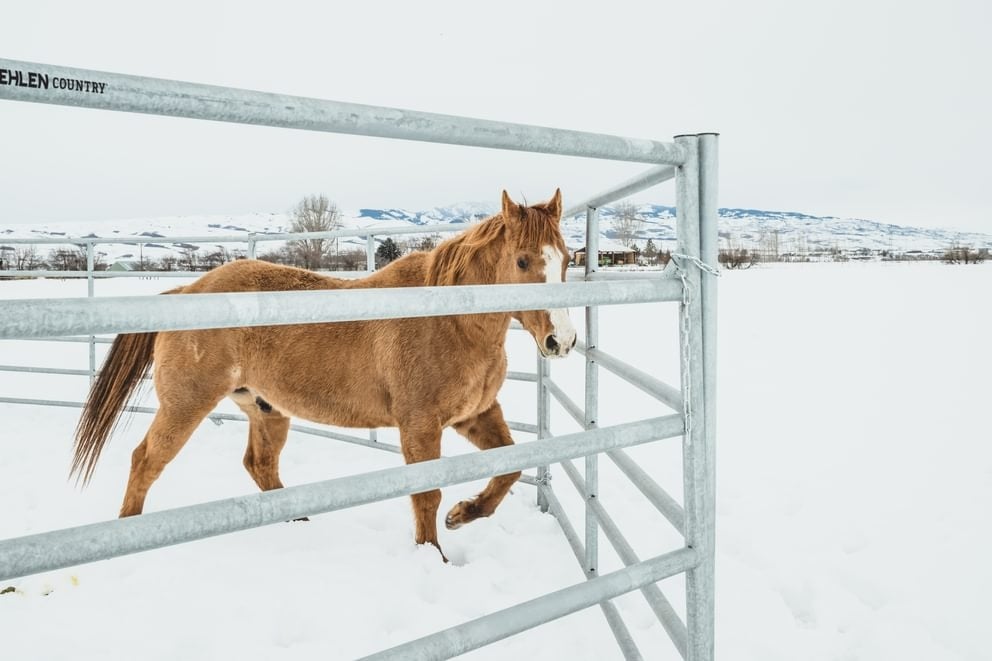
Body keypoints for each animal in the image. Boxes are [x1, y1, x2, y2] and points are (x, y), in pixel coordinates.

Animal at [72, 189, 576, 560]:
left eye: (568, 258)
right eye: (523, 261)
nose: (562, 340)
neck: (447, 319)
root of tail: (188, 291)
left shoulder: (476, 414)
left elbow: (510, 466)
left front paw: (464, 512)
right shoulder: (419, 425)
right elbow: (425, 495)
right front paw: (434, 555)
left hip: (266, 409)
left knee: (259, 465)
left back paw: (297, 522)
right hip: (186, 405)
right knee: (146, 460)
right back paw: (128, 537)